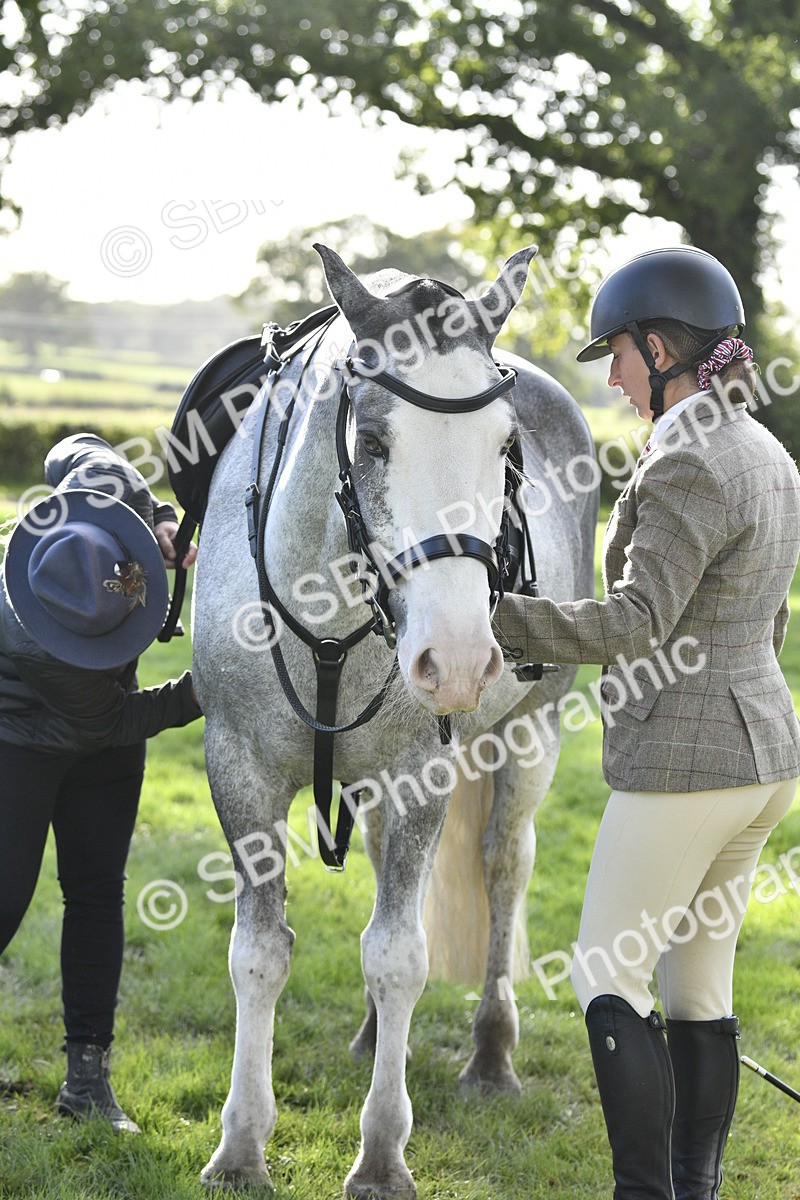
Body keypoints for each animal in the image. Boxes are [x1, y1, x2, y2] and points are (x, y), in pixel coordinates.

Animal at [191, 242, 598, 1198]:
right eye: (372, 440)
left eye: (506, 447)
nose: (459, 657)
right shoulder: (239, 771)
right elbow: (258, 954)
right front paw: (241, 1146)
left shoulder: (422, 775)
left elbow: (400, 955)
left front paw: (380, 1153)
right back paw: (380, 1037)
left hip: (533, 736)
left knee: (503, 869)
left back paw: (491, 1055)